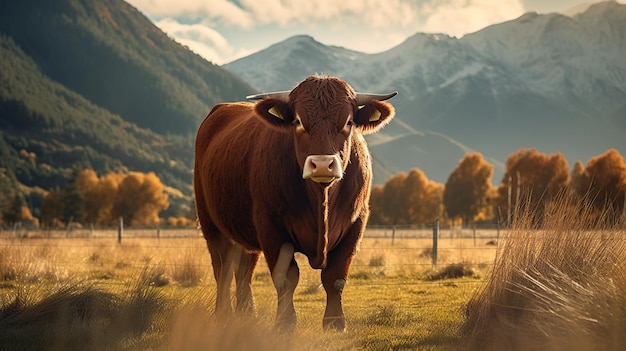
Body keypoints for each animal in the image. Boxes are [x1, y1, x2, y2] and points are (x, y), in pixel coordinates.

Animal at [194, 75, 394, 332]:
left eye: (348, 122)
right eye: (298, 121)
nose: (322, 164)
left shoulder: (356, 223)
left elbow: (335, 277)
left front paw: (335, 323)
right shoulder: (271, 226)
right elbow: (286, 278)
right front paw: (285, 323)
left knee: (244, 271)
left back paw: (247, 314)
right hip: (211, 224)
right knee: (223, 270)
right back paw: (224, 314)